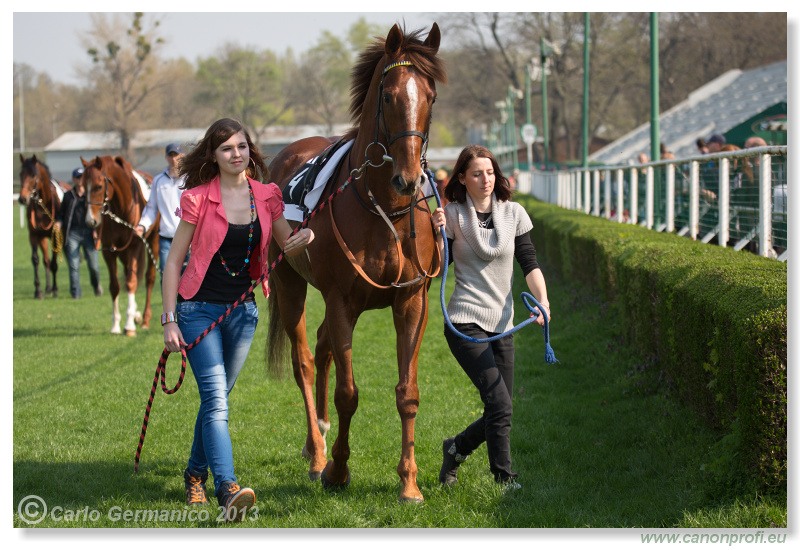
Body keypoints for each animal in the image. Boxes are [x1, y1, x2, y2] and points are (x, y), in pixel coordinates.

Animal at [18, 155, 63, 300]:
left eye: (33, 175)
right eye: (21, 174)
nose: (22, 199)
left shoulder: (55, 235)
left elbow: (54, 263)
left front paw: (55, 289)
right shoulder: (33, 235)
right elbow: (36, 260)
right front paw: (38, 291)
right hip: (42, 239)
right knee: (46, 261)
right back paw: (47, 288)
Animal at [82, 154, 159, 336]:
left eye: (98, 186)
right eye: (81, 187)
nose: (90, 221)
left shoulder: (134, 247)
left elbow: (131, 282)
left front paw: (129, 326)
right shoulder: (109, 251)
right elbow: (115, 286)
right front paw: (116, 324)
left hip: (152, 241)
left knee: (149, 278)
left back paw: (144, 319)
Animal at [268, 22, 444, 504]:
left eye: (430, 95)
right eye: (389, 95)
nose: (408, 178)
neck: (383, 209)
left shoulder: (411, 302)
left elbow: (408, 393)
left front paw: (409, 482)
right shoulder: (340, 300)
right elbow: (348, 393)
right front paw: (338, 470)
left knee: (323, 346)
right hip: (290, 285)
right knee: (305, 361)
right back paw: (316, 453)